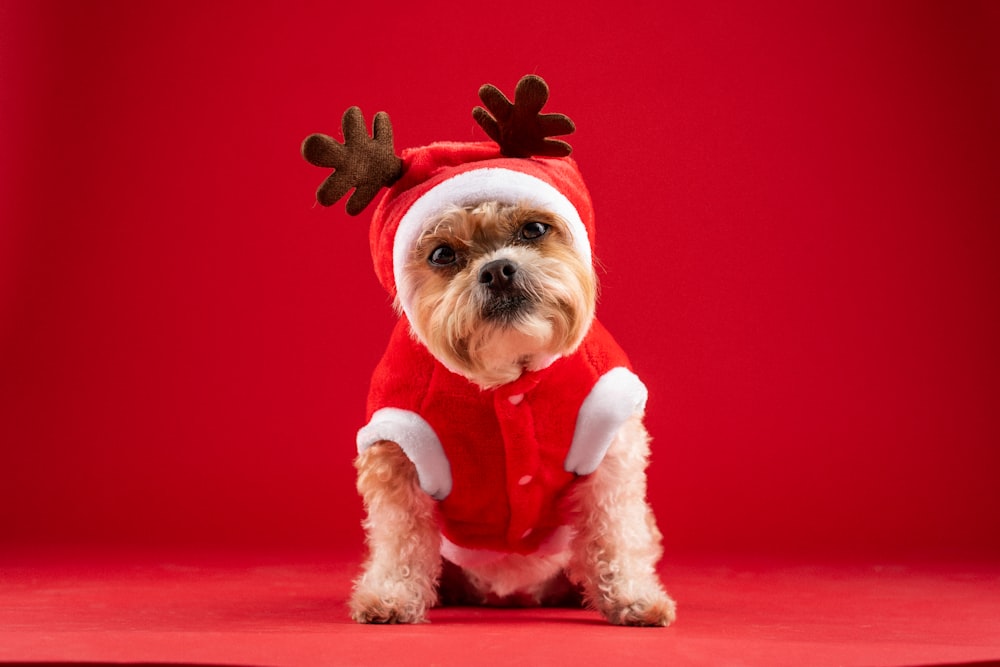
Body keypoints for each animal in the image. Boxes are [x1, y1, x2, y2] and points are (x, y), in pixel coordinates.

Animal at [304, 75, 676, 628]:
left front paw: (632, 596)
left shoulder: (610, 445)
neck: (508, 374)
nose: (498, 269)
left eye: (534, 229)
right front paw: (392, 595)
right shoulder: (396, 447)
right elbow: (399, 537)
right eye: (443, 255)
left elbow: (616, 532)